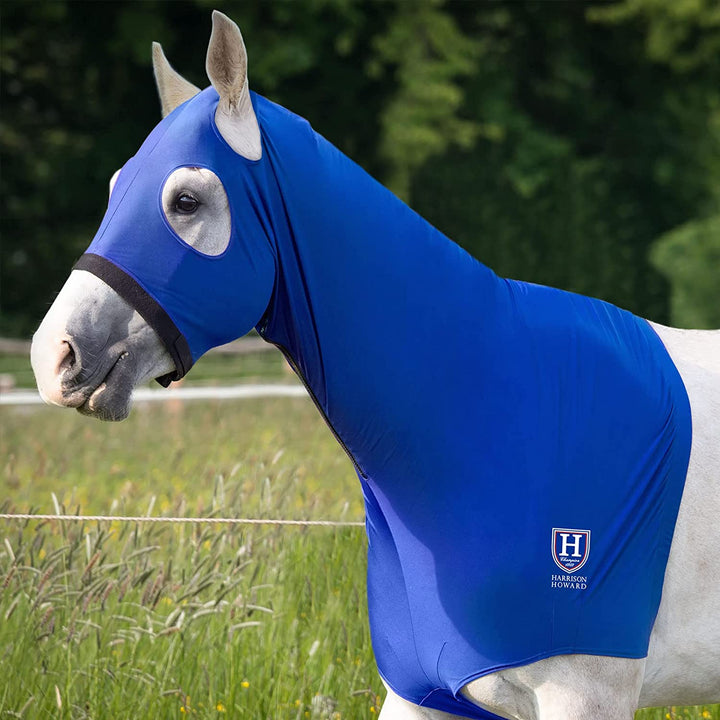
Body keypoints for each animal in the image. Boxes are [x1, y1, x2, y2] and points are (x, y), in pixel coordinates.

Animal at [30, 12, 720, 720]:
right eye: (115, 187)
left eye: (186, 201)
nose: (54, 355)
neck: (496, 416)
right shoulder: (422, 691)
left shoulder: (585, 693)